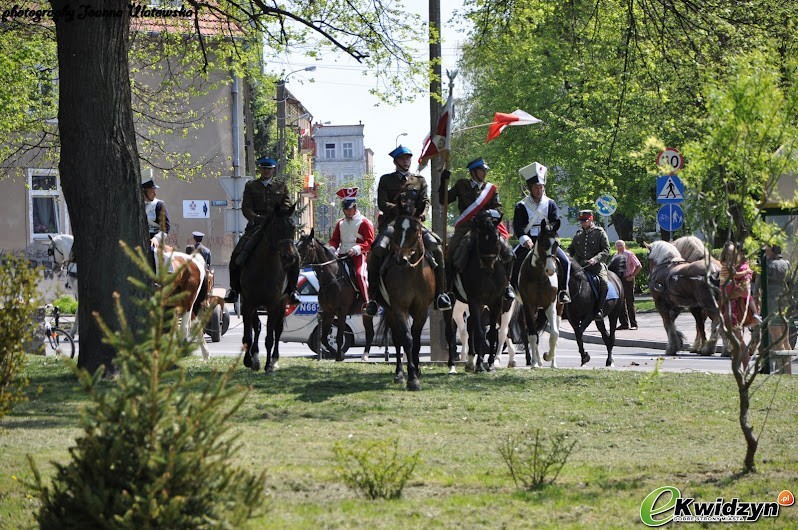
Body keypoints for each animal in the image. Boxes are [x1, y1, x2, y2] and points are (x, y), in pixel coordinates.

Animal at [241, 201, 300, 372]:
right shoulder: (247, 303)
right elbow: (248, 334)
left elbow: (270, 337)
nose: (291, 258)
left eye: (293, 228)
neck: (264, 268)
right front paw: (248, 360)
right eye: (277, 228)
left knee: (278, 330)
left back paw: (274, 360)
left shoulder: (273, 305)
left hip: (283, 301)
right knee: (258, 326)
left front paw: (268, 366)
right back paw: (255, 358)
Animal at [296, 229, 378, 360]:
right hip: (366, 314)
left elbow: (339, 336)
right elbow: (323, 338)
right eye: (297, 245)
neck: (333, 278)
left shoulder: (341, 312)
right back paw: (365, 356)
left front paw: (339, 355)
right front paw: (337, 354)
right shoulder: (328, 313)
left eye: (306, 247)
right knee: (370, 333)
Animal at [376, 212, 438, 390]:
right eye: (396, 228)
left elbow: (416, 341)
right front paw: (412, 378)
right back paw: (399, 374)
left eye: (415, 229)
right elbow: (407, 339)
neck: (411, 273)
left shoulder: (422, 310)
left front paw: (417, 370)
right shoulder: (399, 309)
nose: (400, 259)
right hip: (390, 311)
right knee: (397, 340)